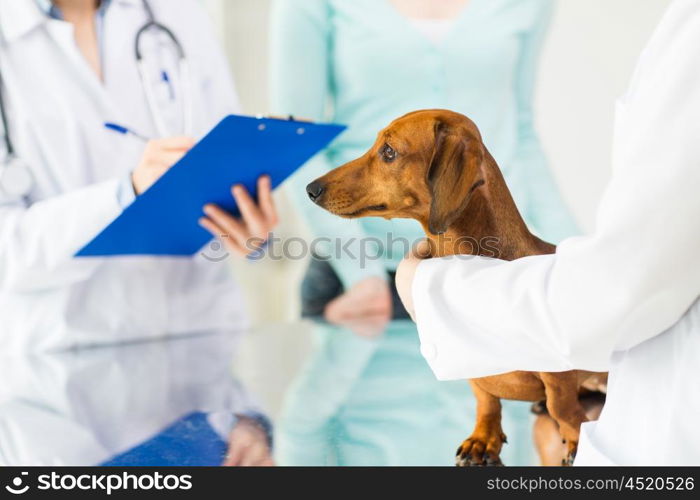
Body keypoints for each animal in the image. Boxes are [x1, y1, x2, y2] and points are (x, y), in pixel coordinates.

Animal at [308, 108, 604, 464]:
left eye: (388, 151)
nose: (310, 188)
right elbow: (486, 401)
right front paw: (483, 437)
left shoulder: (558, 371)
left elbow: (562, 405)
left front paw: (575, 438)